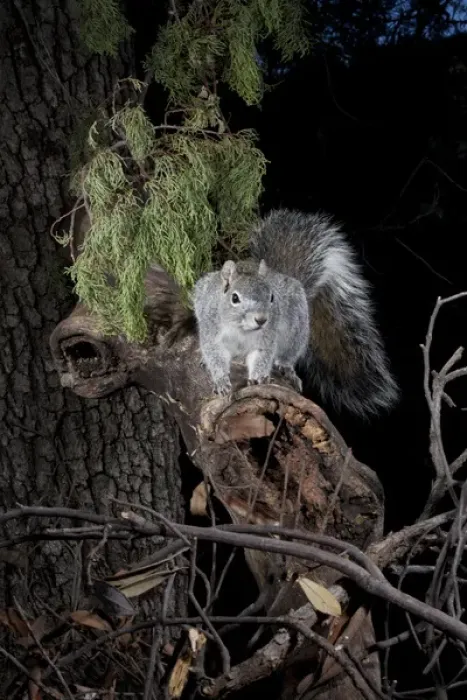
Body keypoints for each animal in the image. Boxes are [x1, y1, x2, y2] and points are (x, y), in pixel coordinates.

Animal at [193, 209, 399, 419]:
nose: (261, 319)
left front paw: (259, 378)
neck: (241, 329)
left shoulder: (266, 338)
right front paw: (220, 380)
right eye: (234, 298)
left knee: (287, 354)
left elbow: (262, 356)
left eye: (272, 297)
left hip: (296, 331)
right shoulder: (212, 330)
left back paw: (286, 368)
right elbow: (215, 354)